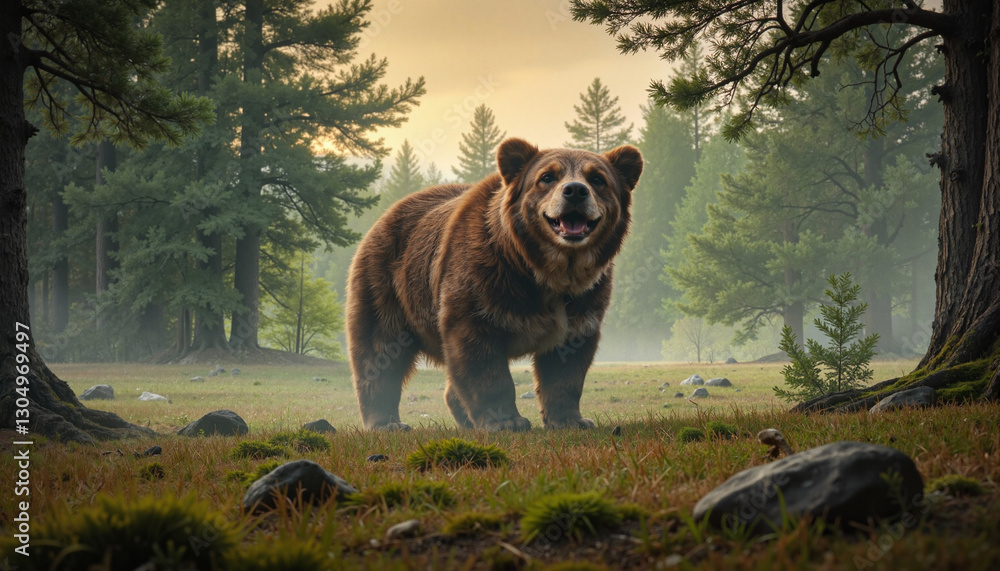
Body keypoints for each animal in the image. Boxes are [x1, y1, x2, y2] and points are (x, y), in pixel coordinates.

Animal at [347, 138, 642, 431]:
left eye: (597, 178)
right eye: (547, 177)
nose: (575, 191)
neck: (543, 271)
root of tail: (386, 214)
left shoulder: (584, 299)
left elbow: (566, 364)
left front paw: (572, 419)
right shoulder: (482, 284)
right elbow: (480, 357)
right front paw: (507, 420)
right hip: (387, 282)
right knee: (380, 349)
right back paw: (386, 422)